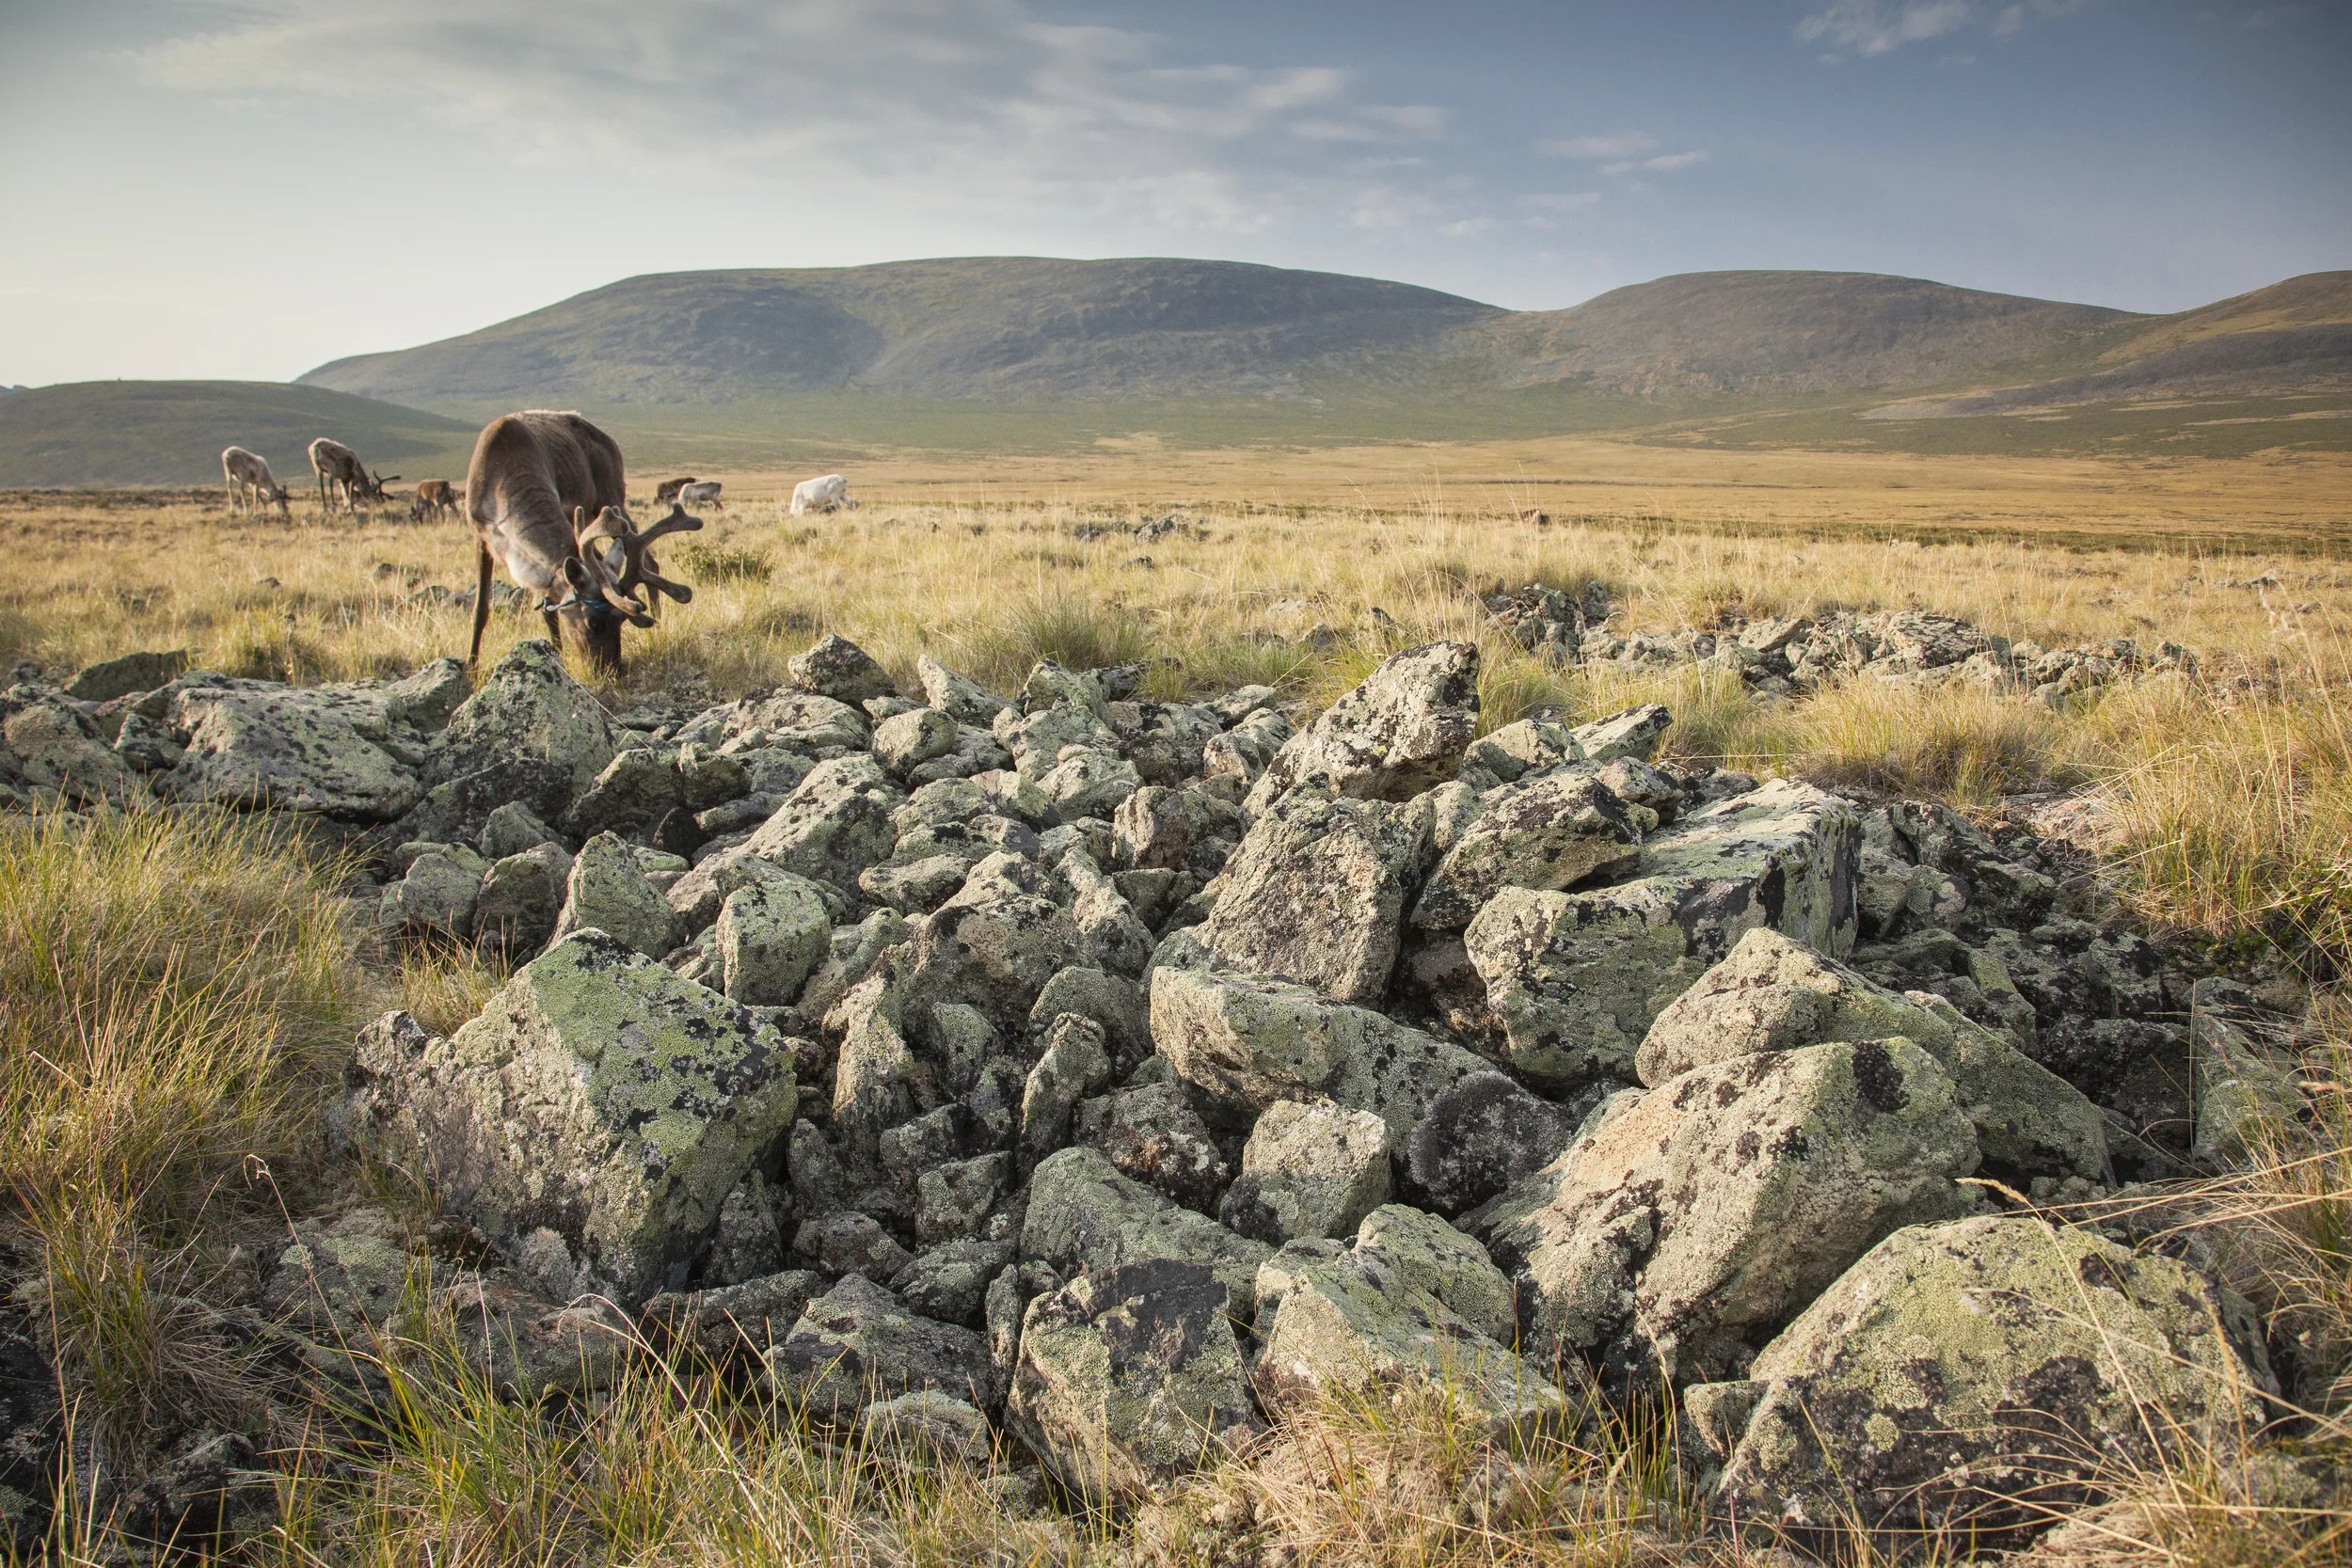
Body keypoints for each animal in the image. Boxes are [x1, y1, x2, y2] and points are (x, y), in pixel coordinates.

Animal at [464, 410, 700, 673]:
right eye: (594, 623)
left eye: (622, 619)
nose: (613, 670)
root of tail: (609, 441)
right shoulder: (480, 535)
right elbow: (482, 610)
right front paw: (472, 667)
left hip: (609, 496)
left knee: (648, 560)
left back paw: (658, 624)